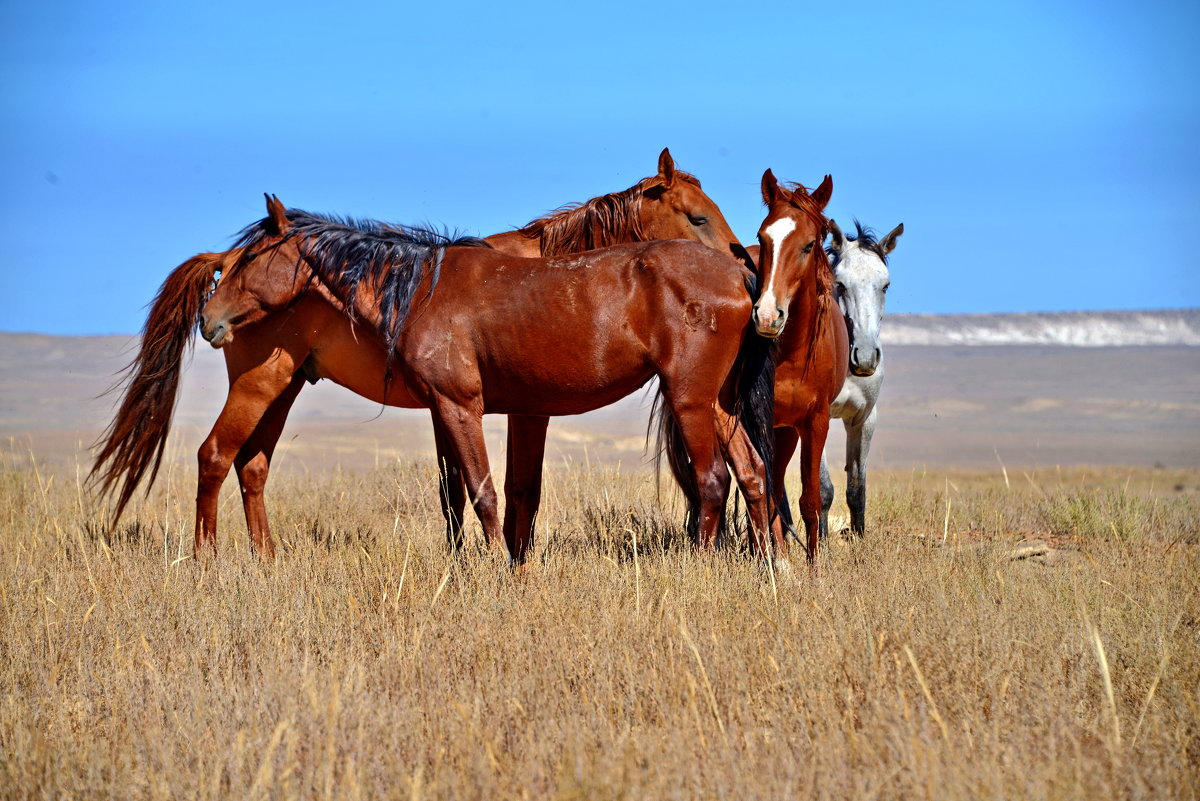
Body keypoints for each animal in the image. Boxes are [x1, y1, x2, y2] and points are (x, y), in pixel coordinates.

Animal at [91, 151, 748, 563]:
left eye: (253, 258)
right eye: (696, 214)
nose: (211, 319)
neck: (418, 288)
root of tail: (735, 287)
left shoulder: (469, 406)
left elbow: (488, 493)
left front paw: (498, 570)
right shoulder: (470, 408)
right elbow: (484, 494)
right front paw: (499, 566)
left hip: (693, 399)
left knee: (716, 478)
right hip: (270, 383)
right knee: (233, 461)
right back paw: (241, 559)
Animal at [657, 172, 844, 565]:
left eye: (809, 245)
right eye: (763, 237)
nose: (768, 315)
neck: (792, 352)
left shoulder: (815, 421)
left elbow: (810, 500)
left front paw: (813, 567)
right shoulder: (751, 416)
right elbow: (764, 487)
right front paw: (775, 559)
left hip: (785, 430)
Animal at [820, 219, 902, 537]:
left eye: (886, 285)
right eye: (840, 284)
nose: (865, 357)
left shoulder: (863, 420)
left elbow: (857, 489)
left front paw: (860, 540)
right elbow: (823, 489)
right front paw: (820, 544)